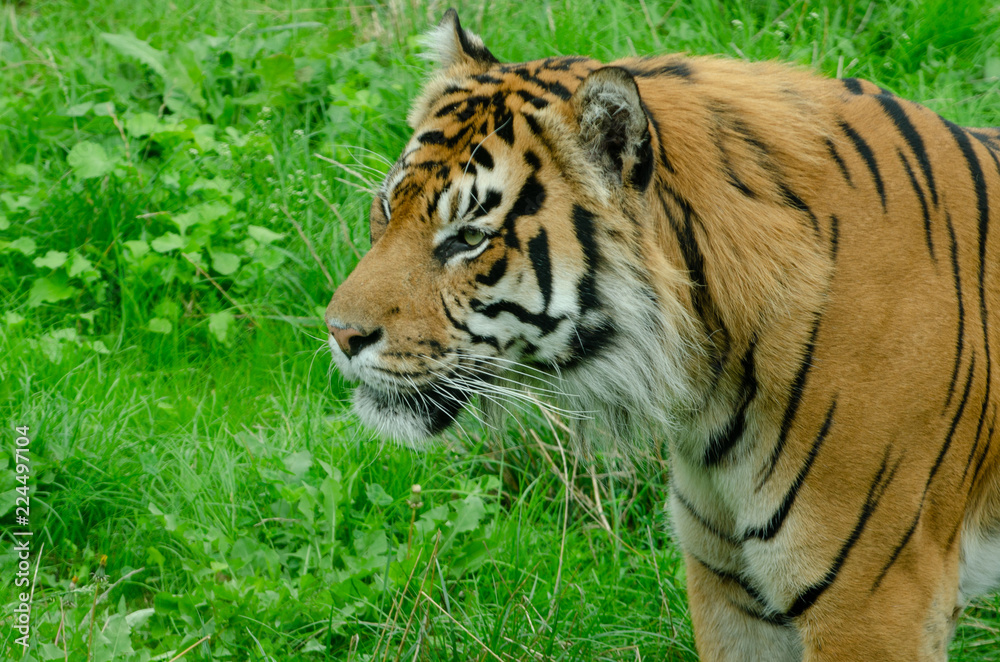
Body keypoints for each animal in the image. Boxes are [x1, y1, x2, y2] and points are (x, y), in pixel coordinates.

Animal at [322, 10, 1000, 662]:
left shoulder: (873, 603)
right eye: (388, 208)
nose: (340, 334)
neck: (713, 389)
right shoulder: (729, 584)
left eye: (468, 237)